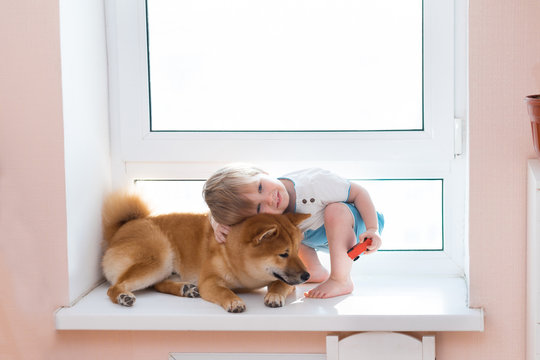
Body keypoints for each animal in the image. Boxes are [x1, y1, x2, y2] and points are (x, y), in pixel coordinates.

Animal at [100, 194, 310, 312]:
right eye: (283, 254)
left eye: (296, 251)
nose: (307, 276)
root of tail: (122, 229)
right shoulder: (209, 281)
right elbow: (224, 291)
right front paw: (234, 301)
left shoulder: (286, 281)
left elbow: (279, 284)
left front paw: (274, 295)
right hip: (159, 259)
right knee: (115, 287)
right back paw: (123, 296)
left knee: (158, 284)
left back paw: (185, 289)